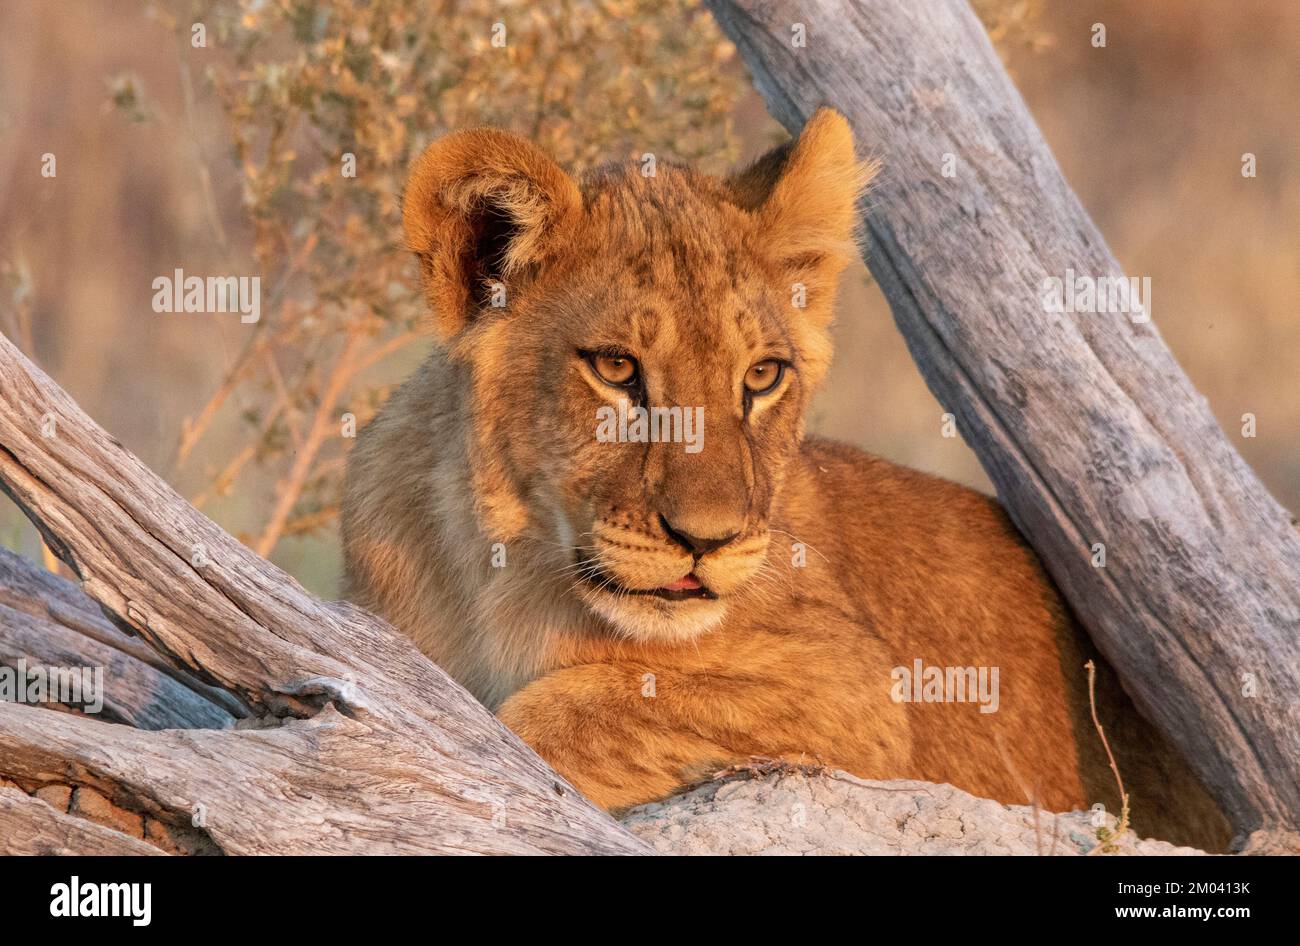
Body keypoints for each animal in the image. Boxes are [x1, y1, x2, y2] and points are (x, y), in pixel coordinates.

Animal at [341, 109, 1230, 850]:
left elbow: (561, 715)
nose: (707, 542)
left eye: (763, 376)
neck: (501, 570)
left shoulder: (860, 696)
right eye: (617, 369)